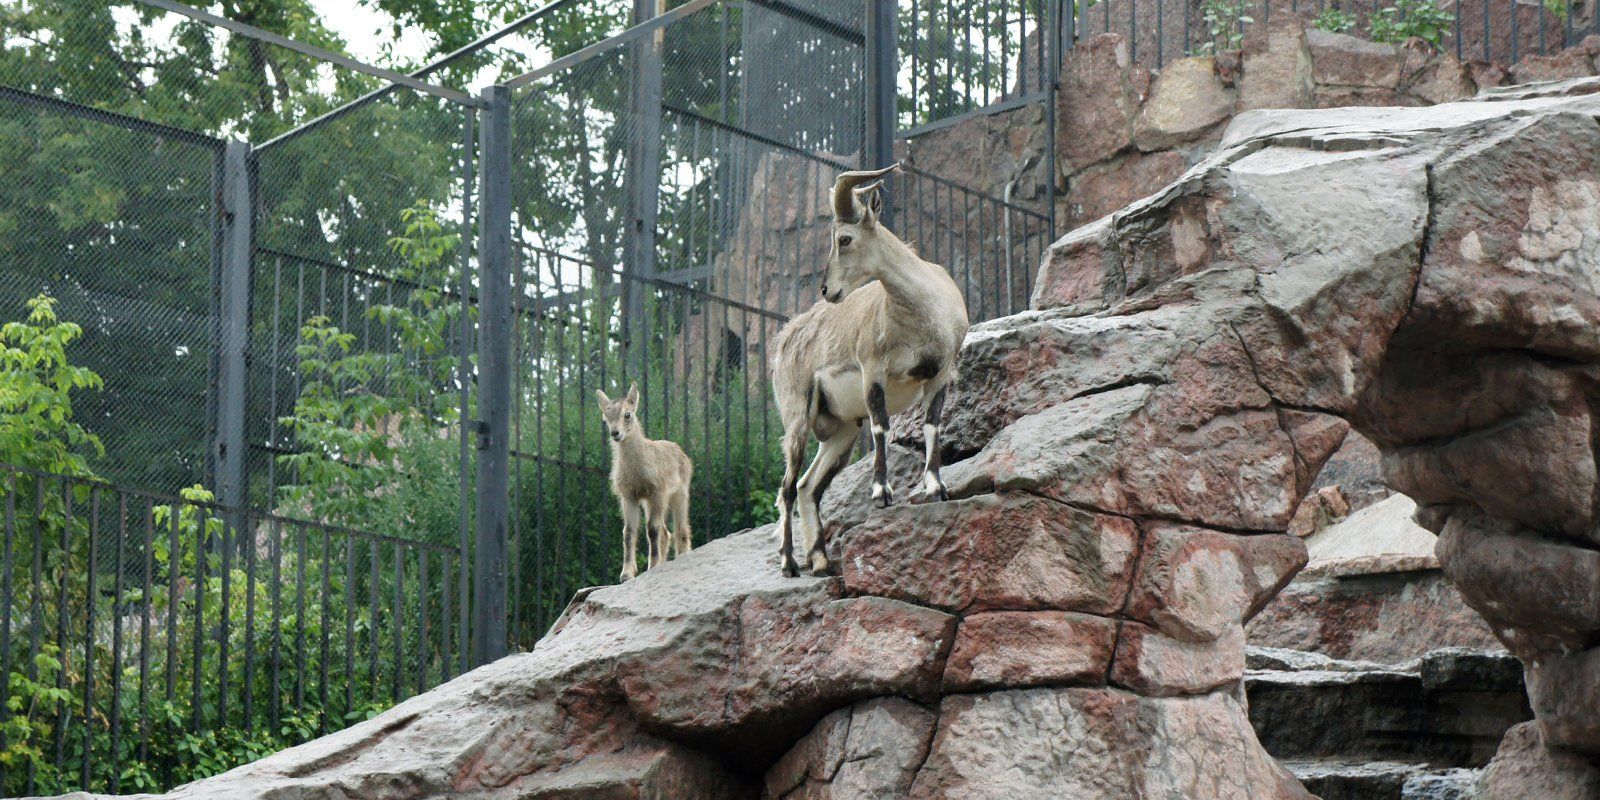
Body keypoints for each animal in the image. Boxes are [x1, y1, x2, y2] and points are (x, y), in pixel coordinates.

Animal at [598, 382, 691, 582]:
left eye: (627, 414)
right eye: (605, 419)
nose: (615, 433)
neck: (636, 471)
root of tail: (682, 454)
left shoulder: (657, 492)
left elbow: (652, 528)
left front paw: (653, 565)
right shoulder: (629, 497)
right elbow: (629, 532)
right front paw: (626, 574)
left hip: (680, 493)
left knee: (681, 529)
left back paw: (681, 556)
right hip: (649, 502)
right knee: (666, 532)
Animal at [768, 164, 966, 576]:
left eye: (844, 238)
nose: (827, 290)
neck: (922, 312)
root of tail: (784, 343)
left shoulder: (940, 374)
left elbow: (932, 425)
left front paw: (936, 487)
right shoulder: (873, 370)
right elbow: (881, 428)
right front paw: (881, 493)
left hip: (841, 430)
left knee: (808, 486)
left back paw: (821, 560)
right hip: (798, 418)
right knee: (787, 486)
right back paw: (789, 562)